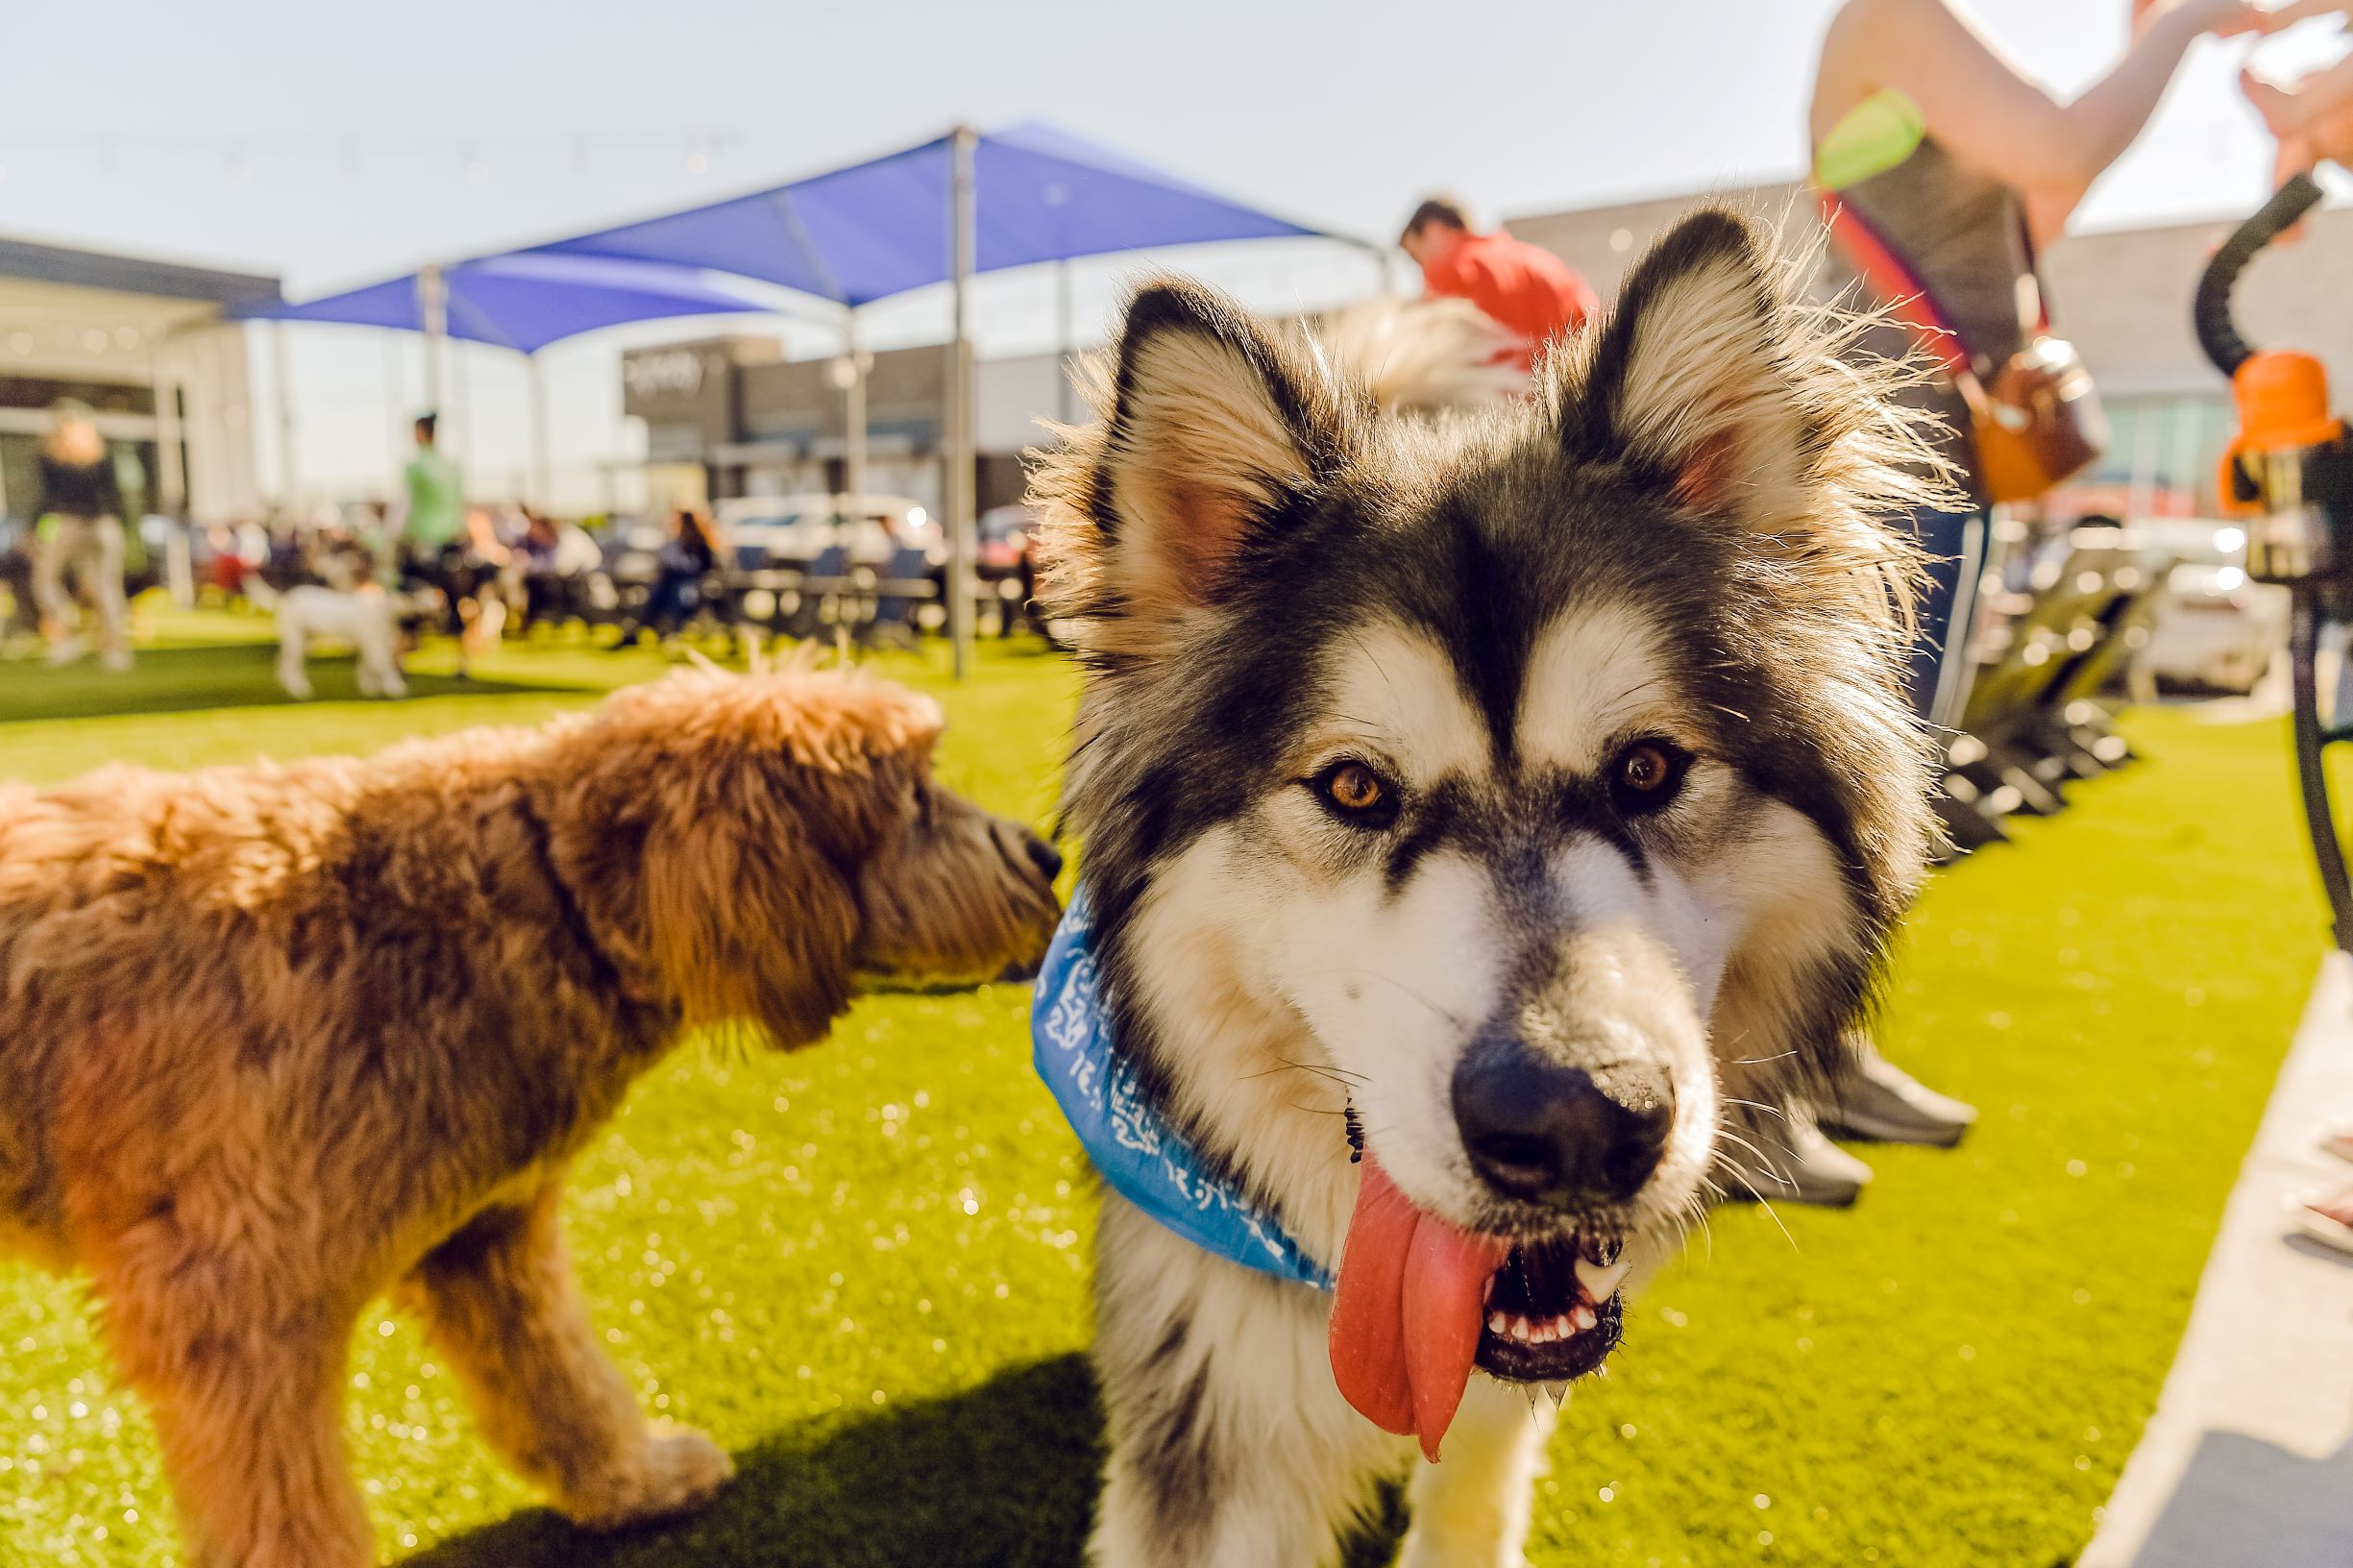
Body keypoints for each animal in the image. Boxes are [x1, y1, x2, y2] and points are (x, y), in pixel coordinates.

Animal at [0, 664, 1059, 1563]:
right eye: (912, 797)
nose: (1049, 854)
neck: (538, 894)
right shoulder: (231, 1296)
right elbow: (286, 1510)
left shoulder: (489, 1235)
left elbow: (560, 1377)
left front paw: (634, 1482)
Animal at [275, 583, 404, 697]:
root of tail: (291, 596)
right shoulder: (374, 643)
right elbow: (382, 665)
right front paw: (395, 688)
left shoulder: (368, 644)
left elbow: (365, 667)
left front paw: (370, 688)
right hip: (296, 637)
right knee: (291, 663)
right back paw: (298, 689)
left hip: (303, 638)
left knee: (288, 661)